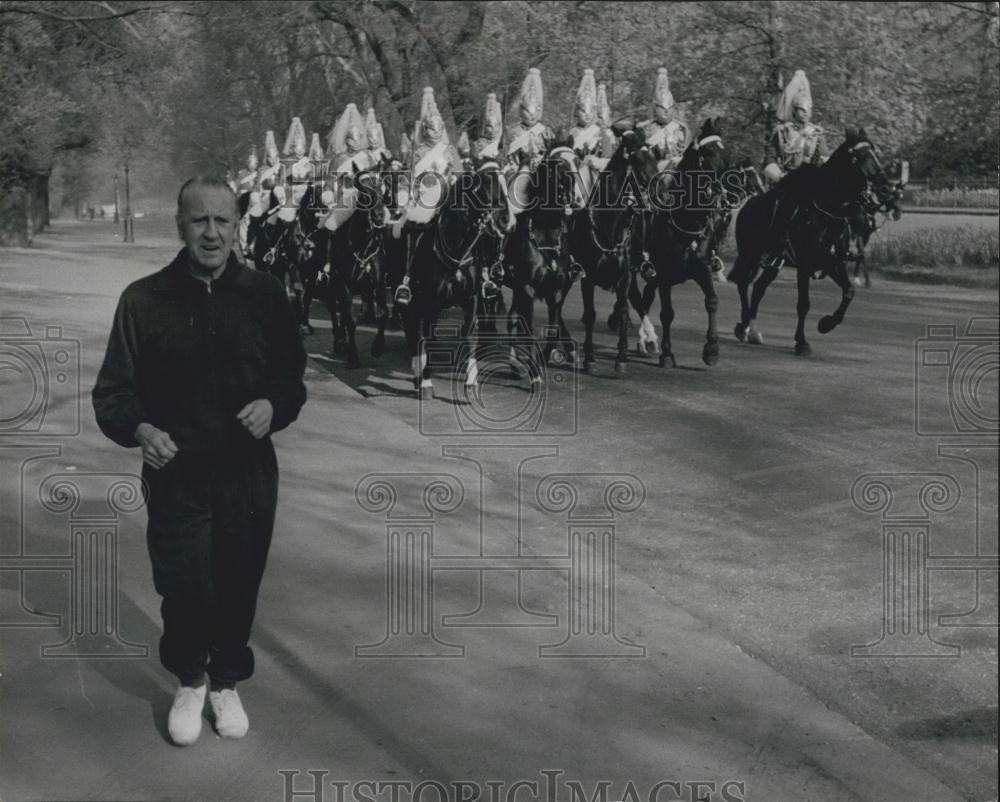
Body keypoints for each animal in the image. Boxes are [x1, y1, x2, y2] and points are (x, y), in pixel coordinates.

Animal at [404, 161, 516, 398]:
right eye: (486, 186)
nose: (508, 222)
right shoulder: (430, 302)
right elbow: (426, 336)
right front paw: (426, 381)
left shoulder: (471, 299)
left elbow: (469, 334)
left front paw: (471, 382)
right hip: (411, 300)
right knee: (413, 330)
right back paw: (418, 373)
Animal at [504, 144, 584, 366]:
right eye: (557, 167)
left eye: (578, 163)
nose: (576, 199)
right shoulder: (528, 288)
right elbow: (528, 329)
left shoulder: (556, 291)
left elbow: (553, 327)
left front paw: (547, 356)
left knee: (512, 317)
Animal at [572, 127, 664, 372]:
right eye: (639, 160)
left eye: (655, 157)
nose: (664, 193)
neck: (608, 225)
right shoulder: (587, 278)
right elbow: (590, 315)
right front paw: (589, 357)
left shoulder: (624, 277)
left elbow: (624, 311)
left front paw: (621, 357)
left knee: (637, 301)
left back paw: (650, 339)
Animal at [728, 128, 900, 354]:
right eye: (858, 156)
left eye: (874, 152)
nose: (885, 190)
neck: (827, 212)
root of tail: (748, 204)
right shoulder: (805, 264)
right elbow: (804, 304)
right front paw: (802, 342)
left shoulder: (833, 262)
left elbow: (849, 291)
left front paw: (826, 324)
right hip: (751, 255)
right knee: (743, 284)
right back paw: (744, 326)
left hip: (774, 263)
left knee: (758, 288)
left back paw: (751, 329)